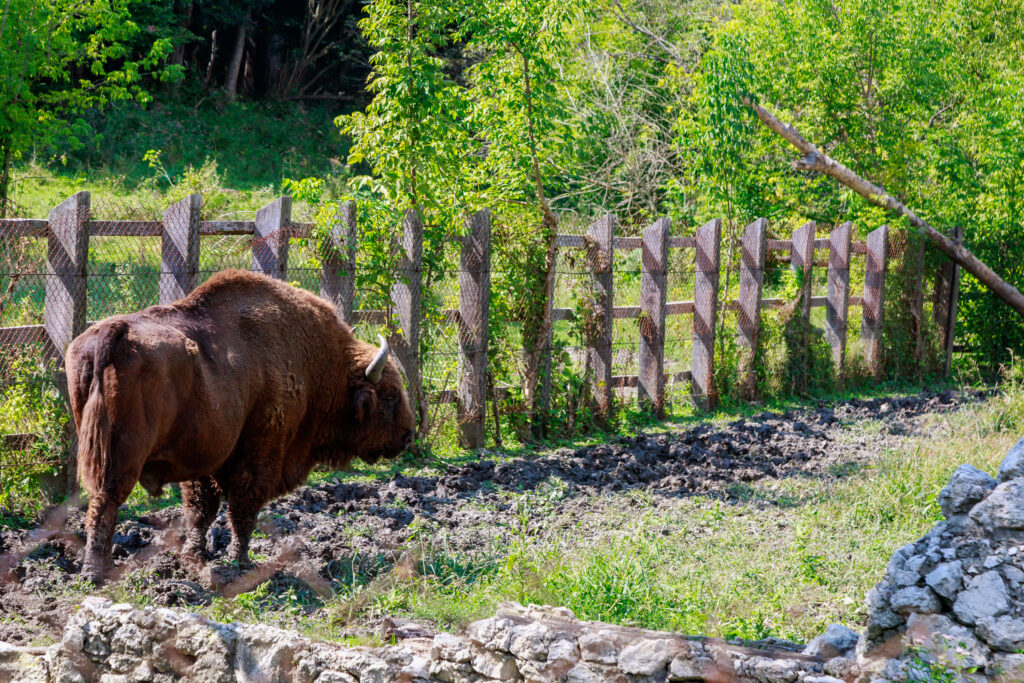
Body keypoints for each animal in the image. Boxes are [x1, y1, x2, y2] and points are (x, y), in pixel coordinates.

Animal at [65, 270, 411, 581]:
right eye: (390, 396)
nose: (407, 436)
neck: (321, 368)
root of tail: (114, 332)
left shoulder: (204, 457)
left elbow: (201, 511)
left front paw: (195, 557)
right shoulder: (259, 455)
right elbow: (242, 509)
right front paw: (241, 561)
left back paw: (107, 566)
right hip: (120, 457)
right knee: (105, 503)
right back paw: (95, 572)